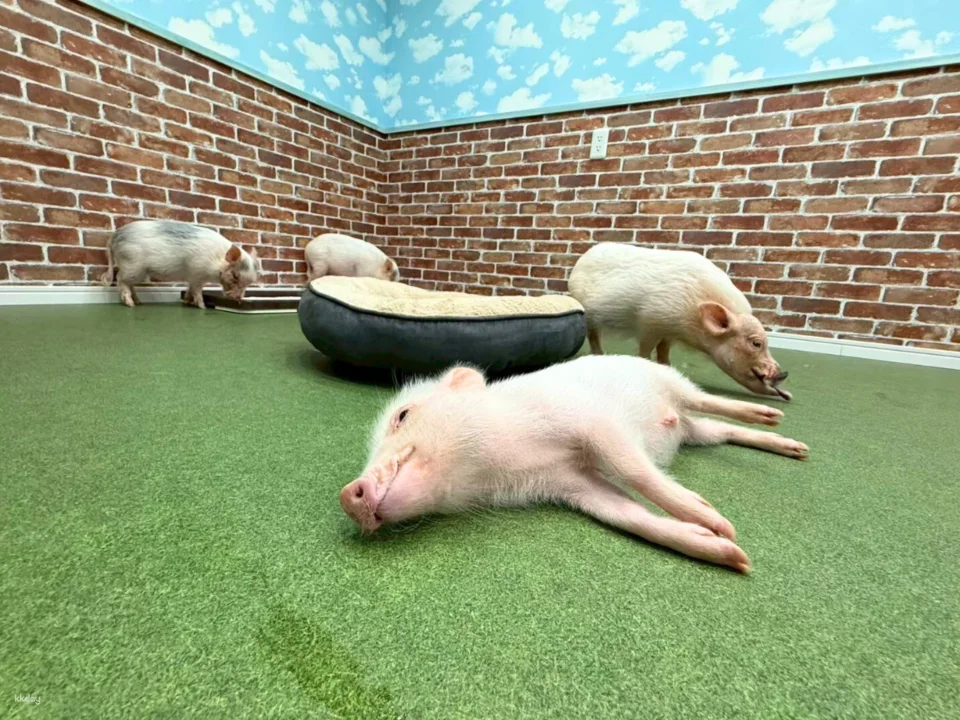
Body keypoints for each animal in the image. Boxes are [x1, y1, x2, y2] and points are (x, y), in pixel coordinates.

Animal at [101, 220, 260, 308]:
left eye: (251, 282)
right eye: (235, 276)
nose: (239, 299)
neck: (217, 262)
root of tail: (113, 238)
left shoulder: (194, 278)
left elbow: (190, 289)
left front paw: (186, 302)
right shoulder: (197, 273)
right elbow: (197, 291)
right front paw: (202, 306)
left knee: (129, 284)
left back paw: (139, 302)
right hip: (132, 265)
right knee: (120, 280)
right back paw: (131, 304)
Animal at [340, 355, 809, 574]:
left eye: (403, 416)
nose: (348, 495)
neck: (509, 455)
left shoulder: (591, 421)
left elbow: (634, 469)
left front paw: (717, 521)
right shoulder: (572, 484)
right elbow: (627, 515)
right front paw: (733, 555)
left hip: (673, 383)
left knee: (709, 400)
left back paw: (774, 417)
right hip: (698, 433)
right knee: (720, 430)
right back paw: (795, 448)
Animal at [568, 243, 791, 400]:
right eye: (756, 343)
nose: (784, 373)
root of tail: (582, 260)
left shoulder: (669, 333)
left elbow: (663, 351)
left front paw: (669, 367)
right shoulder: (650, 322)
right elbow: (645, 350)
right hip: (589, 313)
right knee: (593, 334)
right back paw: (600, 354)